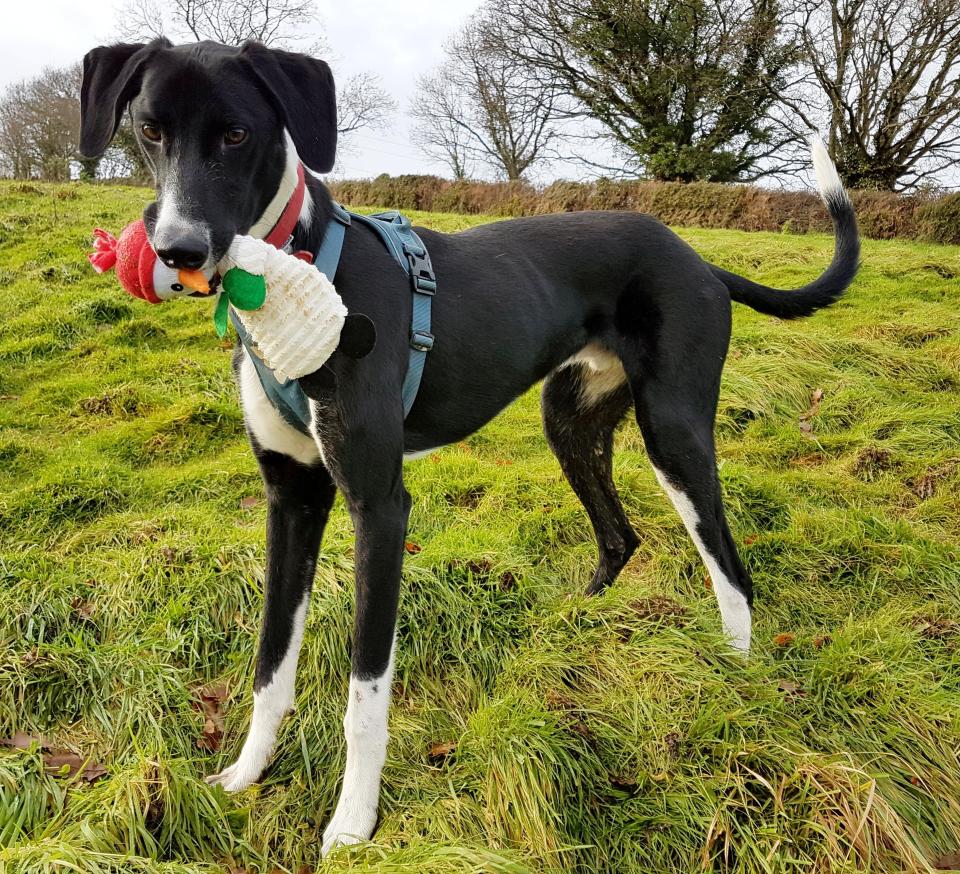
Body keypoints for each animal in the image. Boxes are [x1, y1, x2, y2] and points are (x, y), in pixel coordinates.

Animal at [79, 39, 860, 852]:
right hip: (571, 424)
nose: (178, 250)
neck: (292, 276)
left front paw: (353, 823)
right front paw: (245, 775)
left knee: (731, 570)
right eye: (150, 131)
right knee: (620, 536)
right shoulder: (290, 498)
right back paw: (574, 630)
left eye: (236, 134)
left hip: (674, 434)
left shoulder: (379, 507)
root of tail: (701, 262)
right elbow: (270, 661)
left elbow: (365, 691)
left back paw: (729, 681)